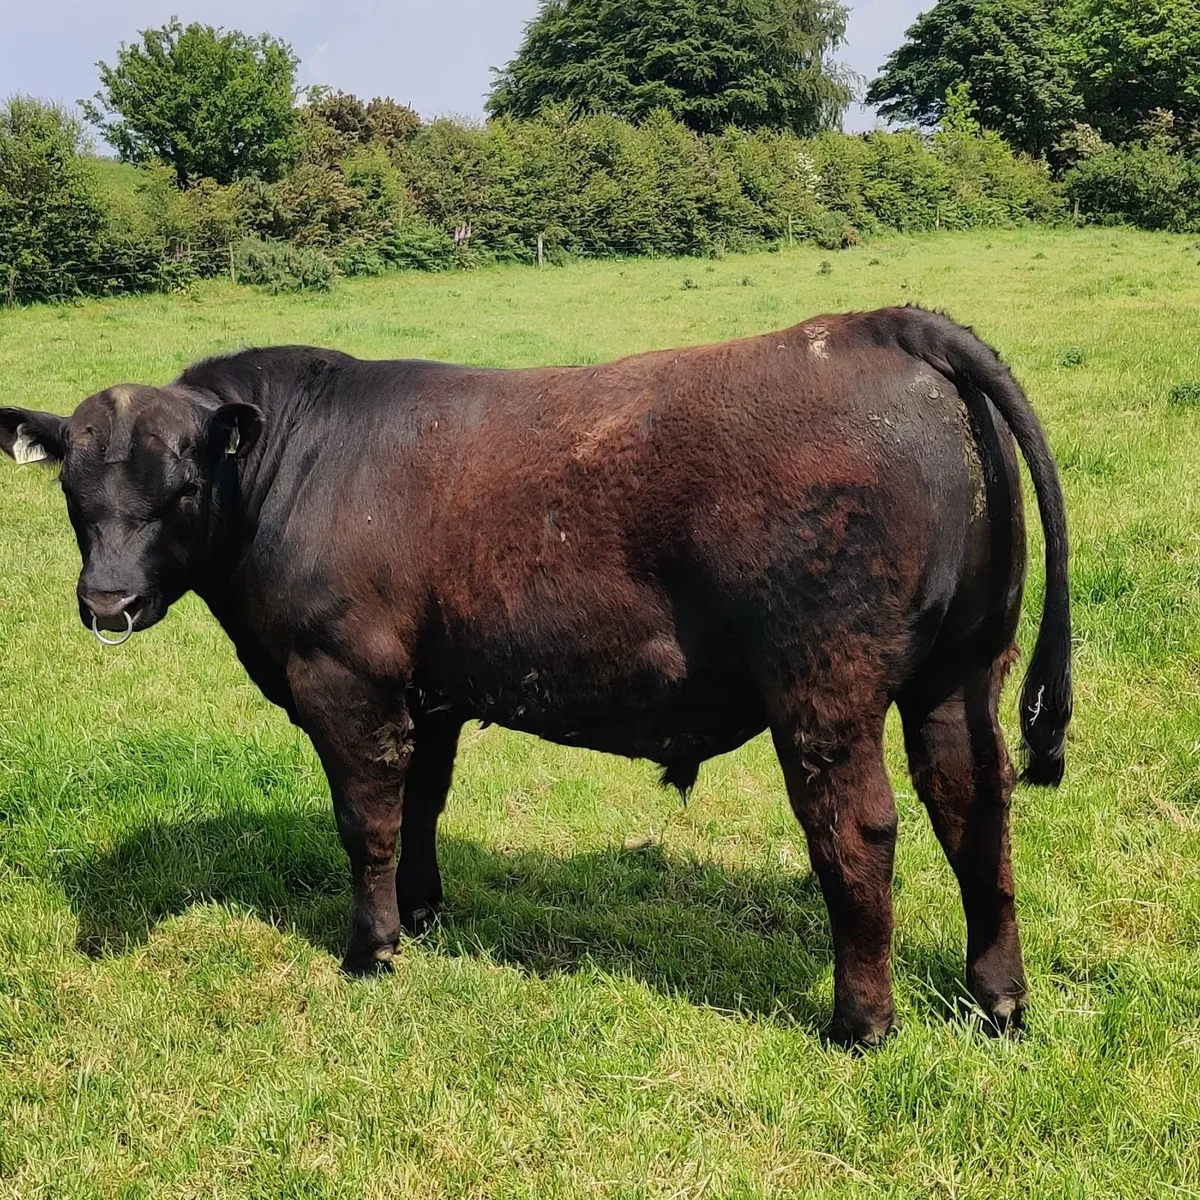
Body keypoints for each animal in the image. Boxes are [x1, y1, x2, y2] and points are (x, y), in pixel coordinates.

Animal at [0, 305, 1071, 1046]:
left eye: (183, 485)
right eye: (73, 494)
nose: (107, 603)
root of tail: (881, 325)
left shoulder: (345, 678)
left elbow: (366, 821)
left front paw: (370, 948)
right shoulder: (427, 692)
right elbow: (421, 805)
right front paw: (423, 913)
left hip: (823, 686)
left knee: (858, 832)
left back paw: (860, 1023)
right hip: (961, 669)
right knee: (975, 805)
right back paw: (998, 1002)